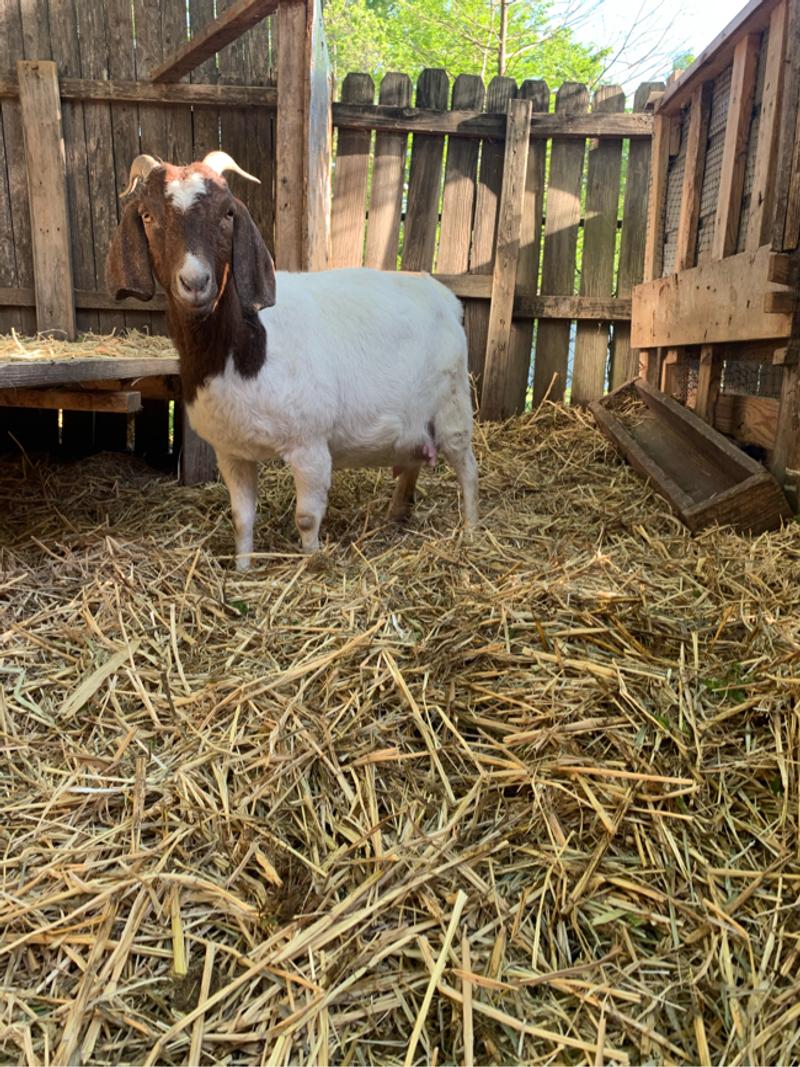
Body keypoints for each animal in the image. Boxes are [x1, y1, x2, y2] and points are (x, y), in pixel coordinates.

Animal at [106, 152, 479, 569]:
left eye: (227, 213)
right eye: (148, 216)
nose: (195, 282)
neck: (250, 346)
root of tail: (445, 296)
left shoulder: (310, 445)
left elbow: (306, 518)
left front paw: (312, 562)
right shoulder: (231, 452)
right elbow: (241, 517)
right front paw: (243, 568)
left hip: (453, 409)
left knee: (468, 470)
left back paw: (471, 531)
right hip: (415, 420)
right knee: (413, 459)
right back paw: (396, 515)